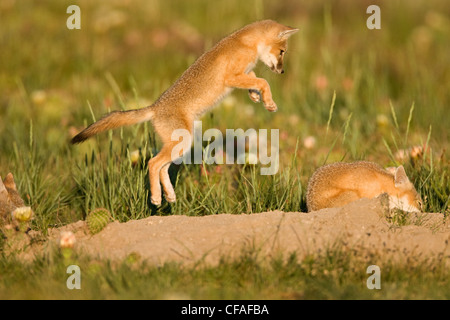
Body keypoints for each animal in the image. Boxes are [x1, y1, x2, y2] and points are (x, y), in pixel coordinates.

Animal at [72, 19, 298, 205]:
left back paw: (169, 195)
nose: (282, 71)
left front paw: (257, 97)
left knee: (162, 167)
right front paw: (269, 101)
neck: (244, 42)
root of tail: (154, 107)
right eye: (282, 52)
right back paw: (156, 197)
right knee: (153, 163)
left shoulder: (243, 73)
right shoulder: (231, 77)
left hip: (179, 145)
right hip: (183, 142)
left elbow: (254, 78)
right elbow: (263, 80)